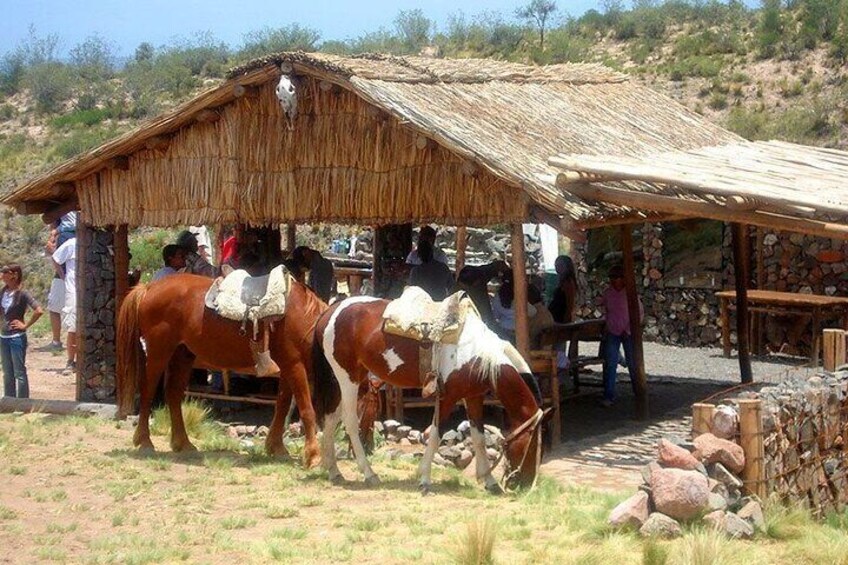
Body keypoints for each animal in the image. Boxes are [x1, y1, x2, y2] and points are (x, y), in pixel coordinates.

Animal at [118, 270, 328, 464]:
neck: (305, 321)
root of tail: (148, 288)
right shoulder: (294, 366)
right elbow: (306, 409)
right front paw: (313, 456)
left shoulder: (287, 368)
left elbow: (282, 405)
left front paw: (276, 447)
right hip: (158, 353)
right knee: (148, 391)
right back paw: (145, 442)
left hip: (182, 355)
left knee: (173, 395)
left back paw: (184, 444)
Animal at [312, 294, 544, 492]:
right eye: (532, 444)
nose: (524, 484)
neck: (477, 353)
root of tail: (330, 311)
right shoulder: (448, 397)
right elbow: (435, 434)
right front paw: (424, 479)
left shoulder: (473, 396)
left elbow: (478, 437)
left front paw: (490, 481)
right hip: (347, 378)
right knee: (350, 421)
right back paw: (369, 474)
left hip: (350, 378)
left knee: (331, 419)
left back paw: (334, 472)